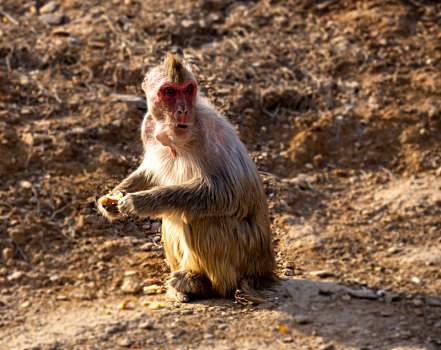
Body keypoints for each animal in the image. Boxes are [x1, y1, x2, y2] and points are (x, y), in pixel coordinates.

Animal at [98, 52, 276, 304]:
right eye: (170, 91)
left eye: (189, 89)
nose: (182, 110)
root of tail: (265, 269)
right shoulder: (147, 125)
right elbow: (151, 171)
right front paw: (110, 202)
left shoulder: (209, 129)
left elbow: (227, 192)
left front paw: (138, 202)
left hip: (247, 253)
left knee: (200, 217)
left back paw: (207, 285)